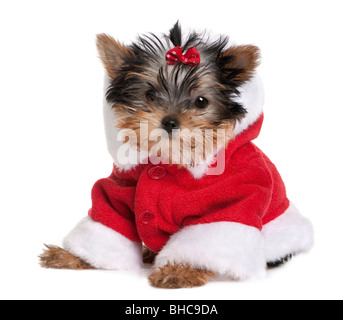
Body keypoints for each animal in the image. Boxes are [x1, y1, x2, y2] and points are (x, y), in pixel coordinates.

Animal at [40, 21, 314, 288]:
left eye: (201, 101)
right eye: (150, 94)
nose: (170, 121)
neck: (170, 157)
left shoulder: (235, 196)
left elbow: (209, 237)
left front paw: (180, 270)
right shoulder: (122, 185)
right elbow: (109, 217)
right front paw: (71, 256)